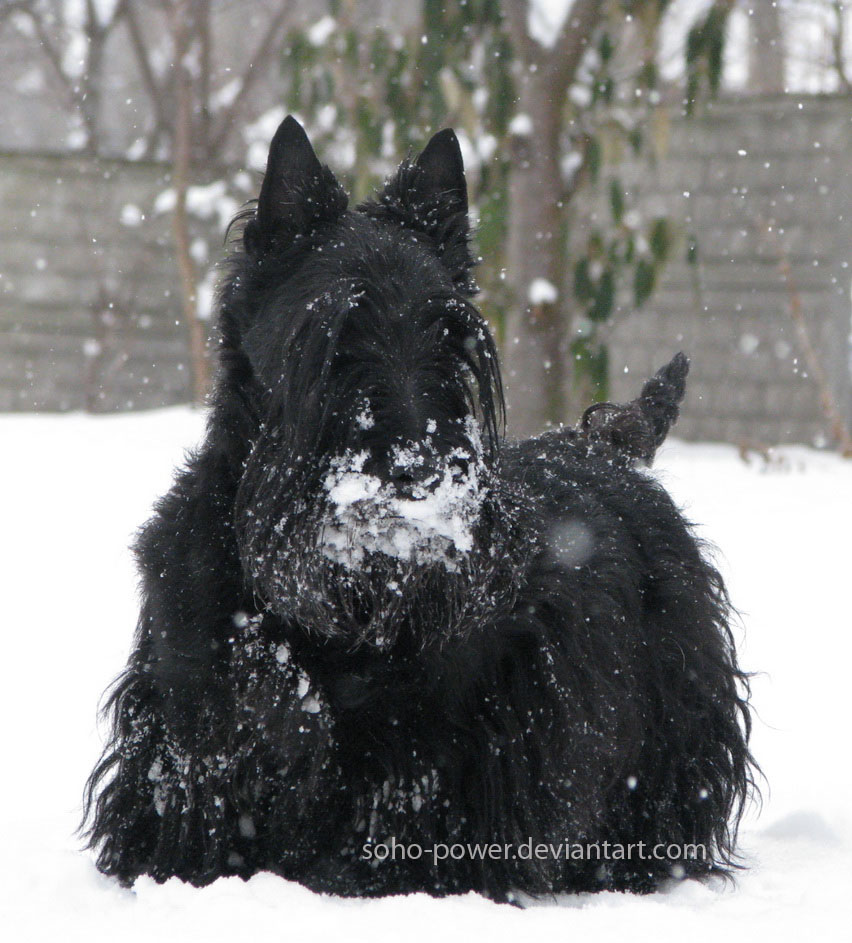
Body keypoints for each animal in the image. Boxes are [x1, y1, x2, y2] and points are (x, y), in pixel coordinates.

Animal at [85, 118, 752, 900]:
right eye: (331, 335)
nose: (419, 471)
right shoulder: (193, 740)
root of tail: (611, 446)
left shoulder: (426, 765)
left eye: (452, 338)